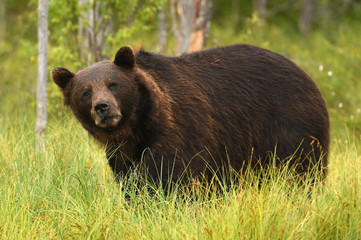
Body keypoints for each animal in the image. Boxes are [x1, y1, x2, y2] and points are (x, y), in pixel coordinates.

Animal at [51, 44, 330, 184]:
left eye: (113, 84)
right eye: (85, 92)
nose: (103, 107)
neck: (139, 128)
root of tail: (307, 76)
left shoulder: (182, 133)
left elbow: (176, 179)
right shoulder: (123, 155)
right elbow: (132, 184)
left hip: (291, 128)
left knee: (300, 171)